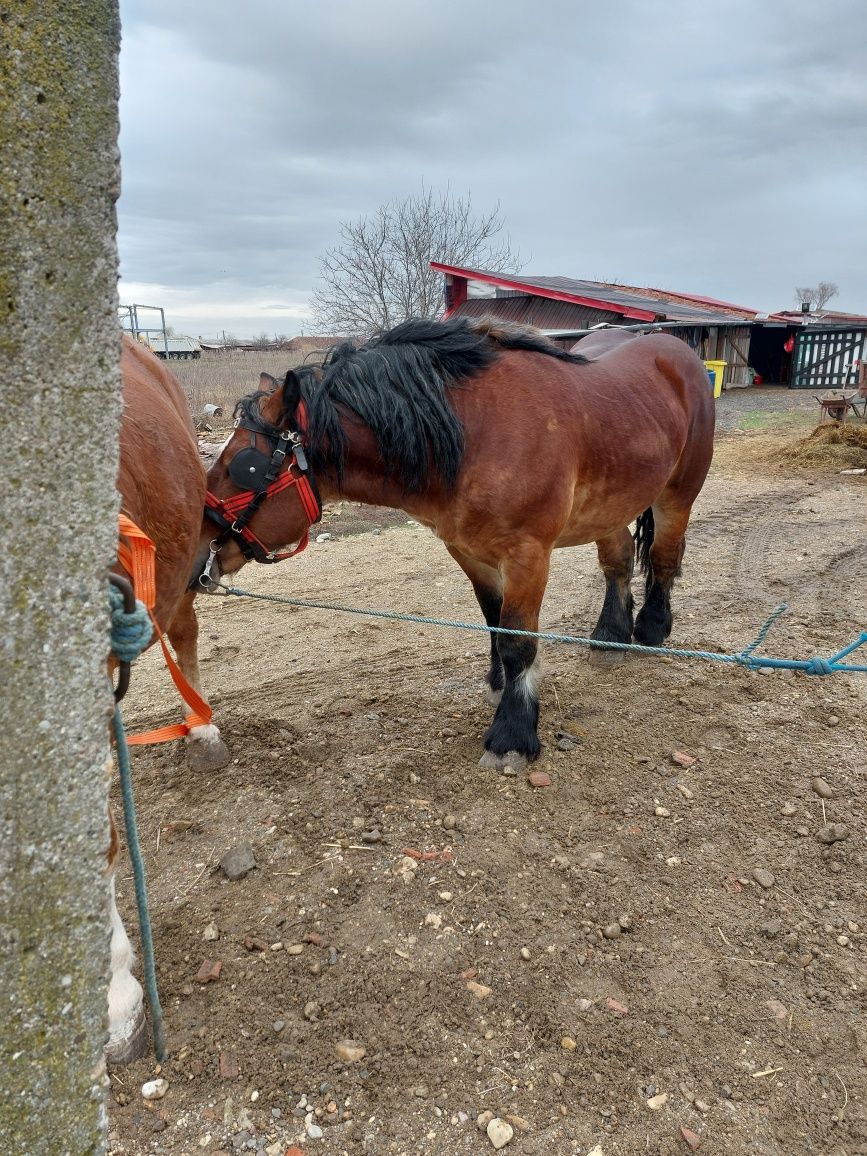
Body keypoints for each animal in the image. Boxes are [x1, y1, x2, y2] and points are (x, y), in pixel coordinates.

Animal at [193, 319, 716, 776]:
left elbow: (518, 640)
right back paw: (610, 635)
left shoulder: (527, 555)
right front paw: (500, 687)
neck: (473, 432)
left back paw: (651, 627)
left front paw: (512, 734)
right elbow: (494, 624)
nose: (198, 553)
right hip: (609, 503)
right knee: (618, 560)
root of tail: (675, 351)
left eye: (244, 467)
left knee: (664, 558)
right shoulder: (468, 551)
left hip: (677, 494)